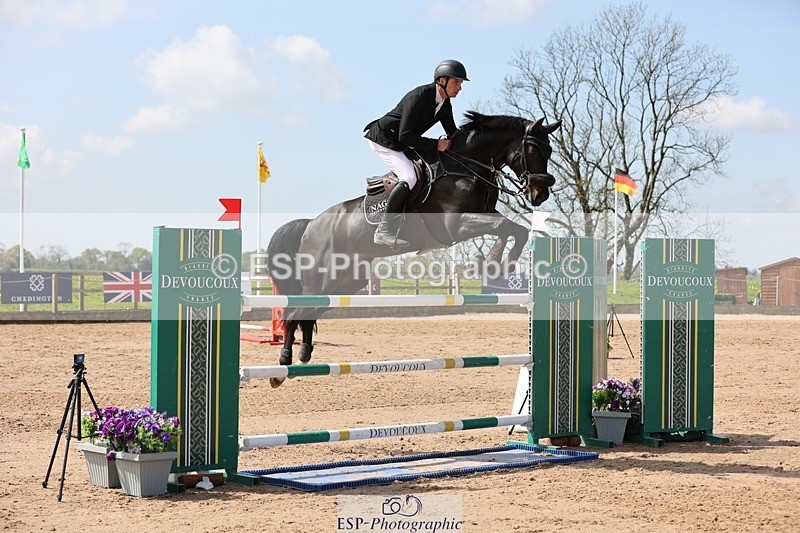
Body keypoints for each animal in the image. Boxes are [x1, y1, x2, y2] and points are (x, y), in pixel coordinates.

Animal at [266, 111, 561, 387]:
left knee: (309, 312)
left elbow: (515, 228)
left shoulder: (482, 216)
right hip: (322, 279)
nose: (540, 195)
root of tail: (310, 224)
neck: (465, 167)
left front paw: (499, 263)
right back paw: (282, 366)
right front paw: (494, 263)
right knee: (294, 314)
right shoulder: (455, 225)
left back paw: (304, 354)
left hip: (345, 282)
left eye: (549, 151)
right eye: (533, 150)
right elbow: (504, 226)